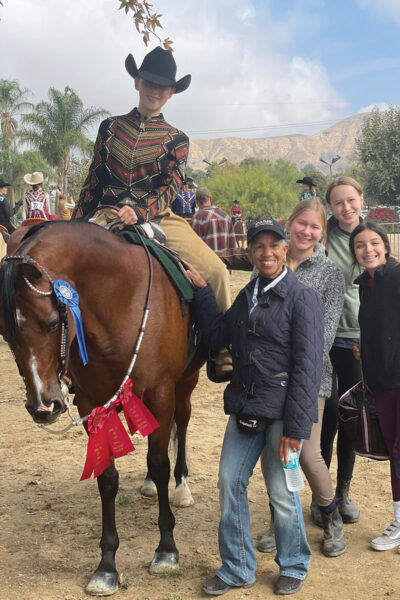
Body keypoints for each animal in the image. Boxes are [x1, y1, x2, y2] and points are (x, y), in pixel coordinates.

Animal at [0, 220, 203, 596]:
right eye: (5, 332)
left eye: (53, 322)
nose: (43, 406)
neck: (120, 301)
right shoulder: (92, 402)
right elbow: (107, 479)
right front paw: (107, 565)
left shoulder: (161, 394)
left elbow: (160, 463)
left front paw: (166, 549)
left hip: (186, 383)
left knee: (181, 424)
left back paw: (182, 486)